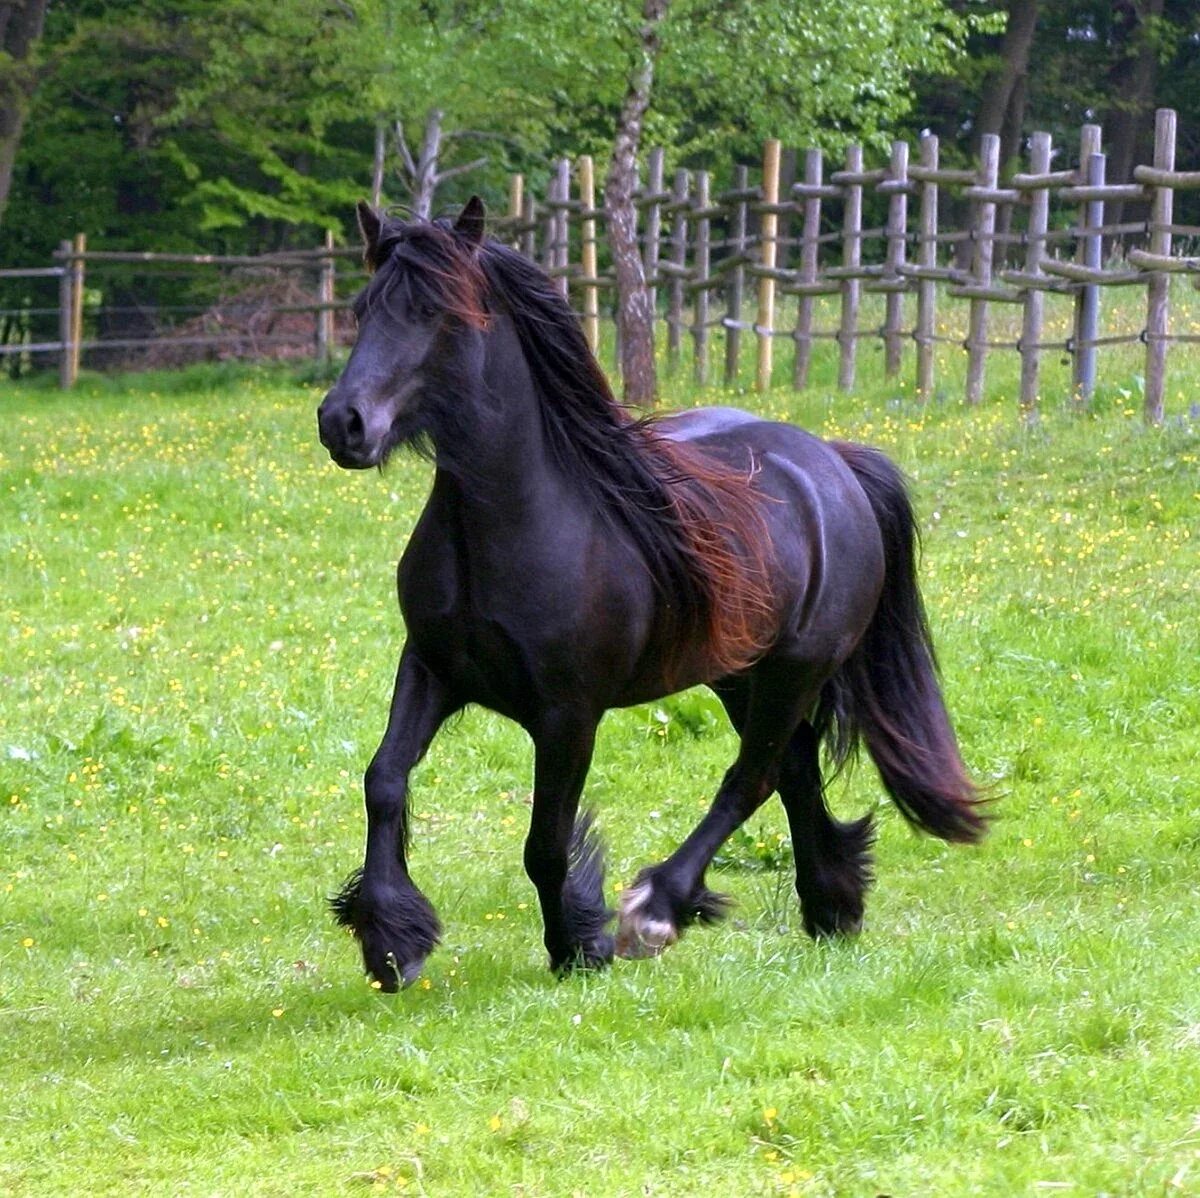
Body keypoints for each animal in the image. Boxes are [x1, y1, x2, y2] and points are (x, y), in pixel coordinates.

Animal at [319, 199, 984, 993]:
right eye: (362, 307)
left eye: (433, 311)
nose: (344, 423)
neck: (517, 521)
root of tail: (834, 463)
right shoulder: (432, 669)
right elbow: (384, 780)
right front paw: (392, 938)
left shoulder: (568, 714)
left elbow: (545, 842)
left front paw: (580, 944)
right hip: (739, 676)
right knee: (791, 770)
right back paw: (831, 905)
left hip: (795, 670)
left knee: (752, 777)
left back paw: (660, 909)